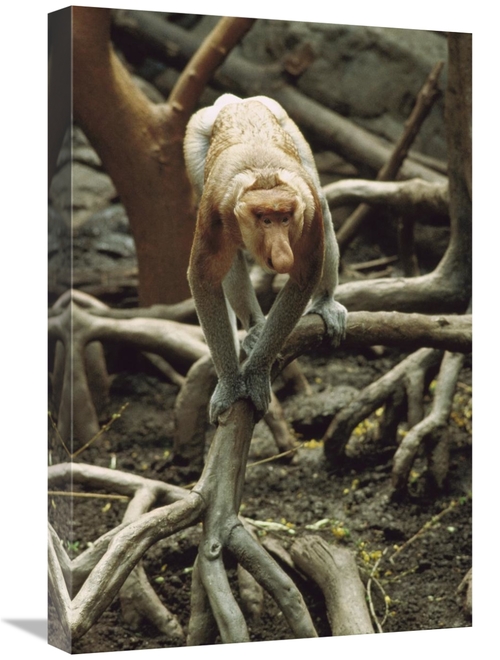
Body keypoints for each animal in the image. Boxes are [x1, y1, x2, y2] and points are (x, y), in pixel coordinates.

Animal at [184, 94, 347, 424]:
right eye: (265, 219)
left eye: (285, 218)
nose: (282, 252)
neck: (263, 175)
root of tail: (237, 102)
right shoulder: (212, 211)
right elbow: (203, 278)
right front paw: (230, 385)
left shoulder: (307, 213)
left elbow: (304, 276)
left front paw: (256, 375)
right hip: (198, 132)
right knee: (230, 258)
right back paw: (255, 327)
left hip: (283, 118)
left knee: (324, 206)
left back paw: (324, 302)